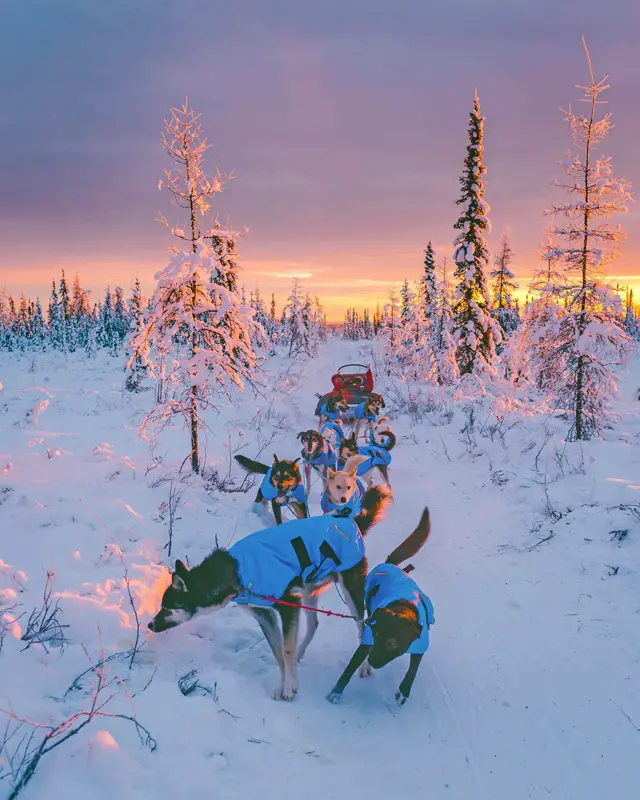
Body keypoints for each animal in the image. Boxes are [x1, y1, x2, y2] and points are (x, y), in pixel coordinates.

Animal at [149, 484, 396, 696]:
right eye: (161, 605)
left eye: (168, 607)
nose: (150, 624)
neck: (237, 572)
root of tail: (351, 522)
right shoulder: (265, 615)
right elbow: (278, 653)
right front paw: (285, 684)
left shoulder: (289, 605)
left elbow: (285, 650)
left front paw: (289, 689)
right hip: (308, 591)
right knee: (314, 624)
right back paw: (301, 653)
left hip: (351, 592)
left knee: (363, 628)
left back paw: (364, 666)